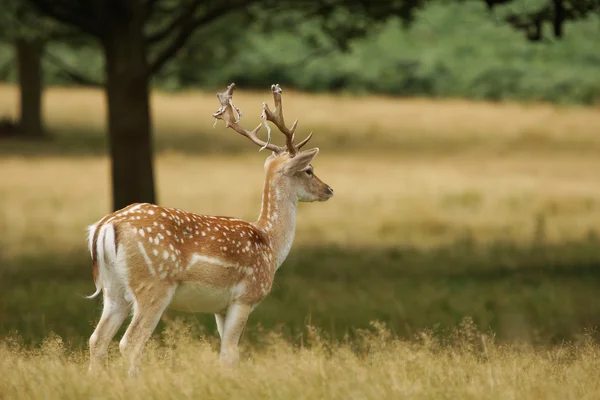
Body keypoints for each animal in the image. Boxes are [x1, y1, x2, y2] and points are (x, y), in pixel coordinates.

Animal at [86, 82, 336, 376]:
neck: (271, 244)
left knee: (97, 339)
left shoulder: (220, 307)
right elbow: (230, 353)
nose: (329, 189)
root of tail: (105, 227)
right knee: (130, 342)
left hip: (113, 289)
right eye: (309, 170)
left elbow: (225, 353)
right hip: (153, 285)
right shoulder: (245, 296)